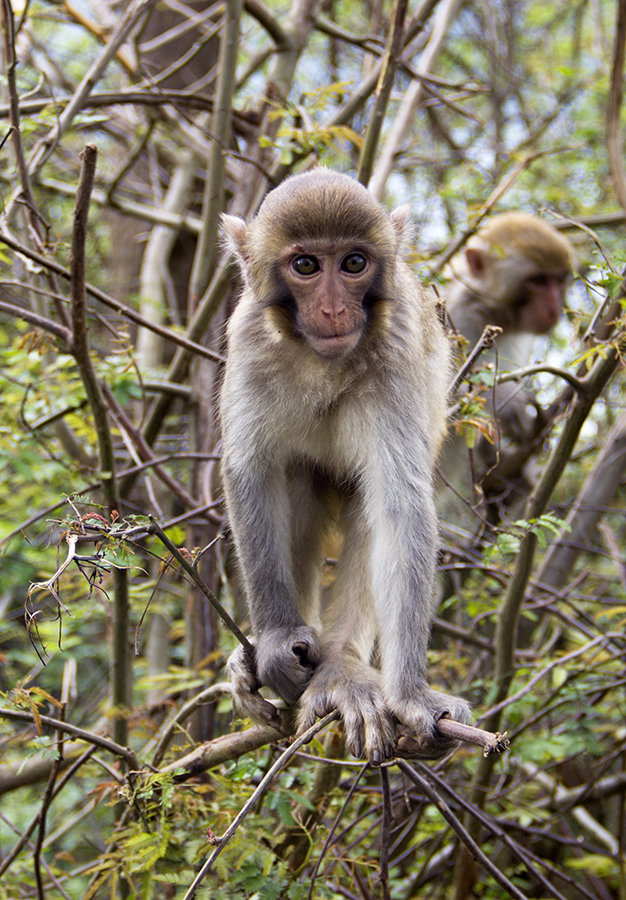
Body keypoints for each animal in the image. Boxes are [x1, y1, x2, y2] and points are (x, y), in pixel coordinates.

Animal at [219, 167, 468, 760]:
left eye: (353, 263)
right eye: (306, 265)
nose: (333, 310)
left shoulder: (396, 351)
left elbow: (401, 507)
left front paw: (411, 695)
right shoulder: (250, 342)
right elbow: (252, 474)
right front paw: (277, 640)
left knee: (370, 507)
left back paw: (342, 670)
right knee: (295, 479)